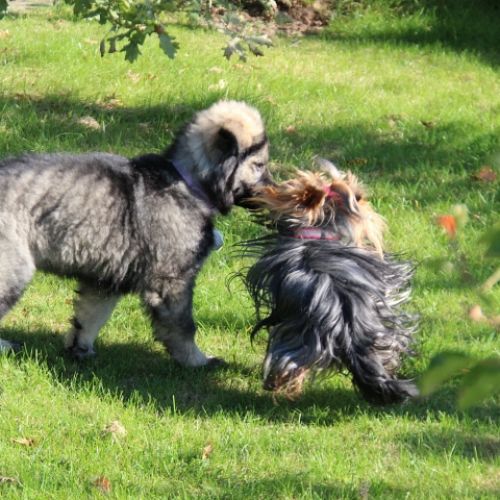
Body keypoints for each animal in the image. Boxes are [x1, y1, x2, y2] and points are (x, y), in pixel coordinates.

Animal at [0, 100, 272, 367]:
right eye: (259, 166)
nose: (276, 190)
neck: (187, 182)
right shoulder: (172, 282)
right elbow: (184, 327)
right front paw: (197, 361)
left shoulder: (106, 279)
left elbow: (91, 316)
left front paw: (80, 349)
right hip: (14, 269)